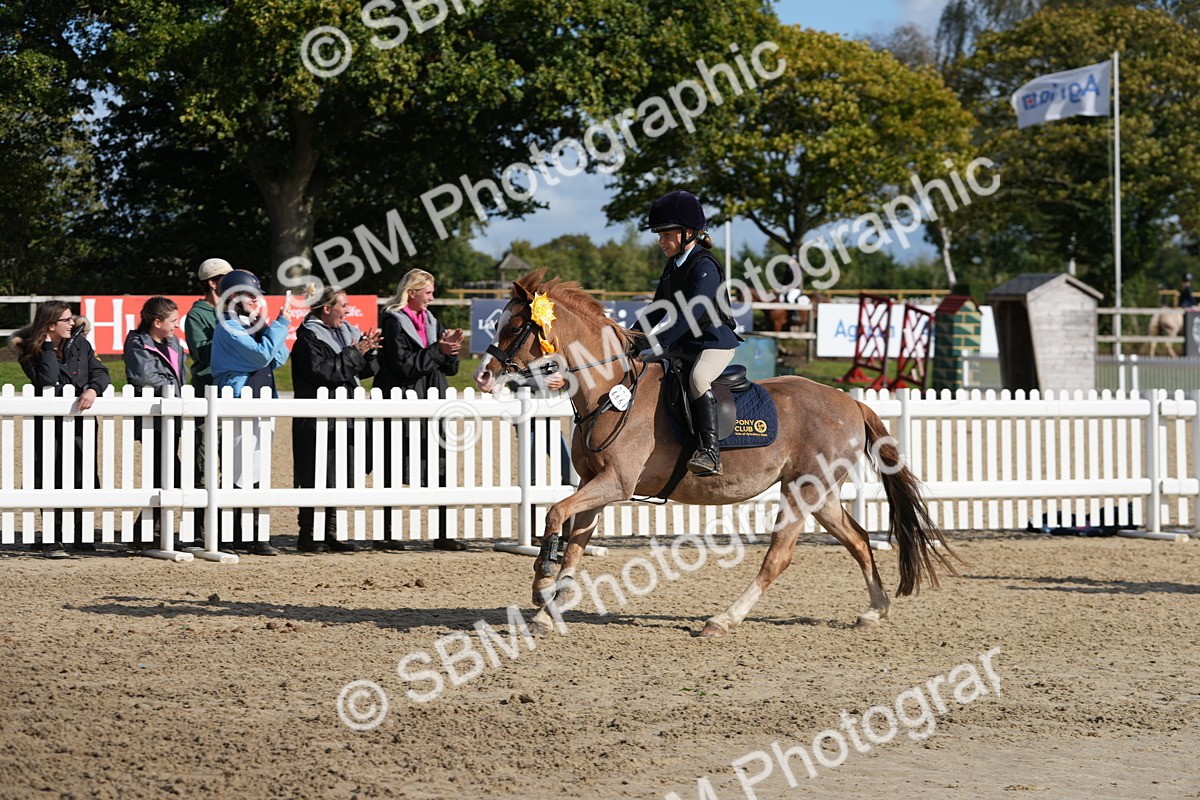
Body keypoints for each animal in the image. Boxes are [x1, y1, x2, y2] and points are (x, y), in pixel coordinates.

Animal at [473, 269, 959, 637]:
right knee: (857, 540)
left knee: (778, 557)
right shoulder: (593, 483)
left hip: (803, 491)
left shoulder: (616, 484)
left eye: (514, 327)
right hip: (821, 494)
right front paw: (548, 609)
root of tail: (850, 402)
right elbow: (575, 543)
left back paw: (723, 620)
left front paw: (542, 582)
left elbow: (555, 513)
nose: (482, 376)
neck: (610, 392)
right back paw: (874, 610)